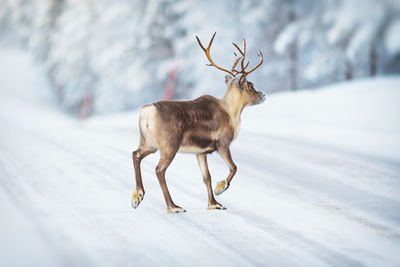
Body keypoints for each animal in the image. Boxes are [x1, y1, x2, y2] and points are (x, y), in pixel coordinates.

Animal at [131, 33, 266, 214]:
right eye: (250, 86)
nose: (263, 95)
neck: (231, 111)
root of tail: (147, 111)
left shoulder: (200, 152)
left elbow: (207, 177)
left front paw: (214, 204)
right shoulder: (223, 143)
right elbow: (234, 167)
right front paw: (220, 188)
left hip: (148, 143)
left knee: (135, 154)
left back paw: (137, 197)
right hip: (169, 145)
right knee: (159, 170)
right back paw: (173, 206)